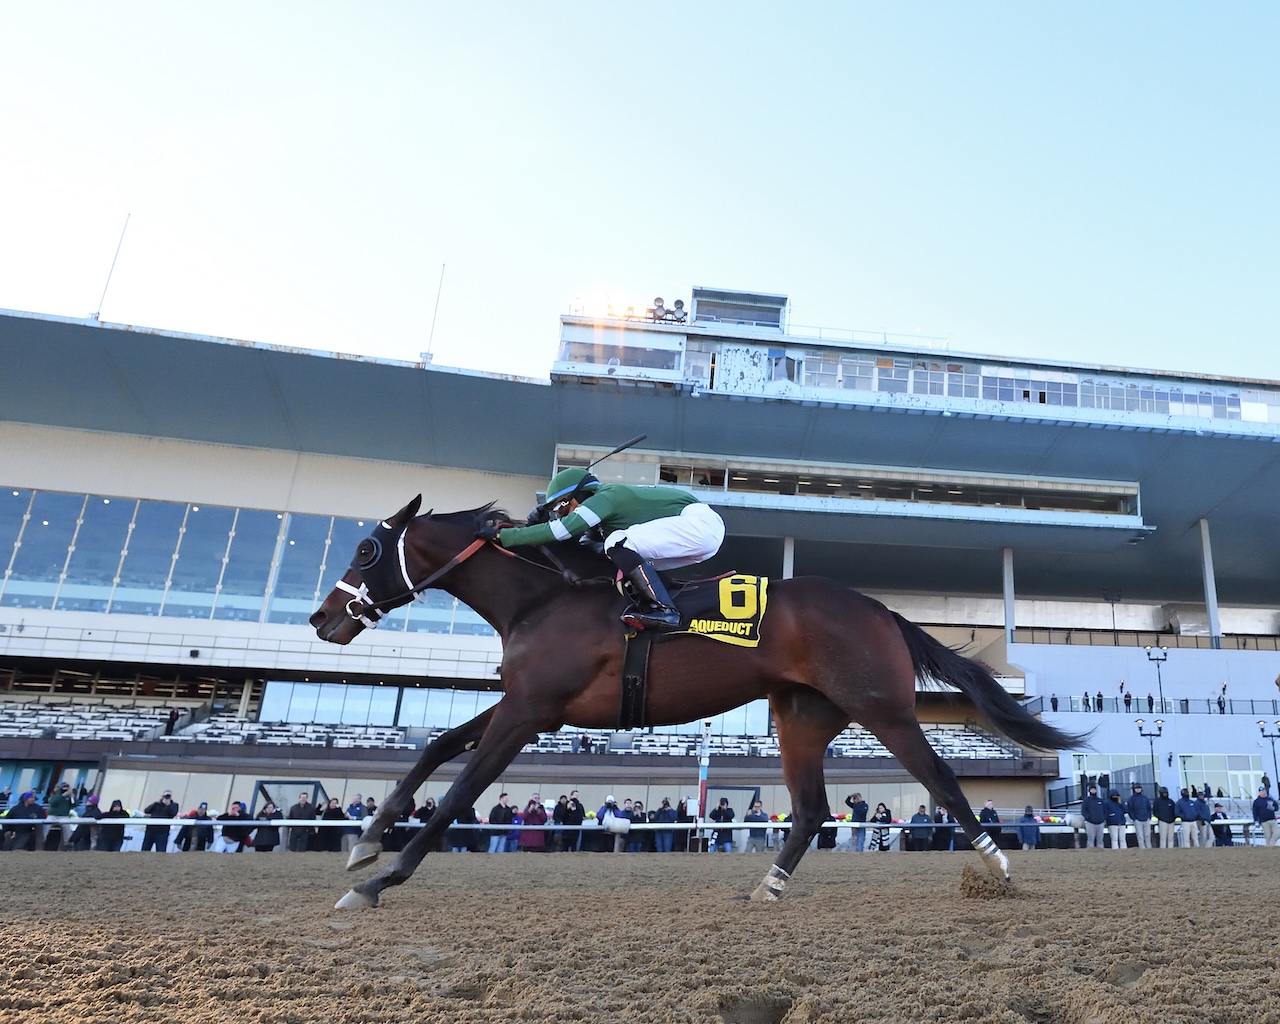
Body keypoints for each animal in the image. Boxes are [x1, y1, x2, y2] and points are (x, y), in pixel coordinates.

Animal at [309, 499, 1080, 906]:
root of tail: (881, 609)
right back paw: (767, 887)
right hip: (801, 716)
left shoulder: (529, 711)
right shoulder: (528, 702)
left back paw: (999, 868)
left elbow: (460, 791)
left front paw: (381, 880)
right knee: (810, 811)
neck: (543, 598)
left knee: (942, 778)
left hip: (881, 708)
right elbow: (439, 746)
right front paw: (365, 843)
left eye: (367, 549)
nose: (322, 619)